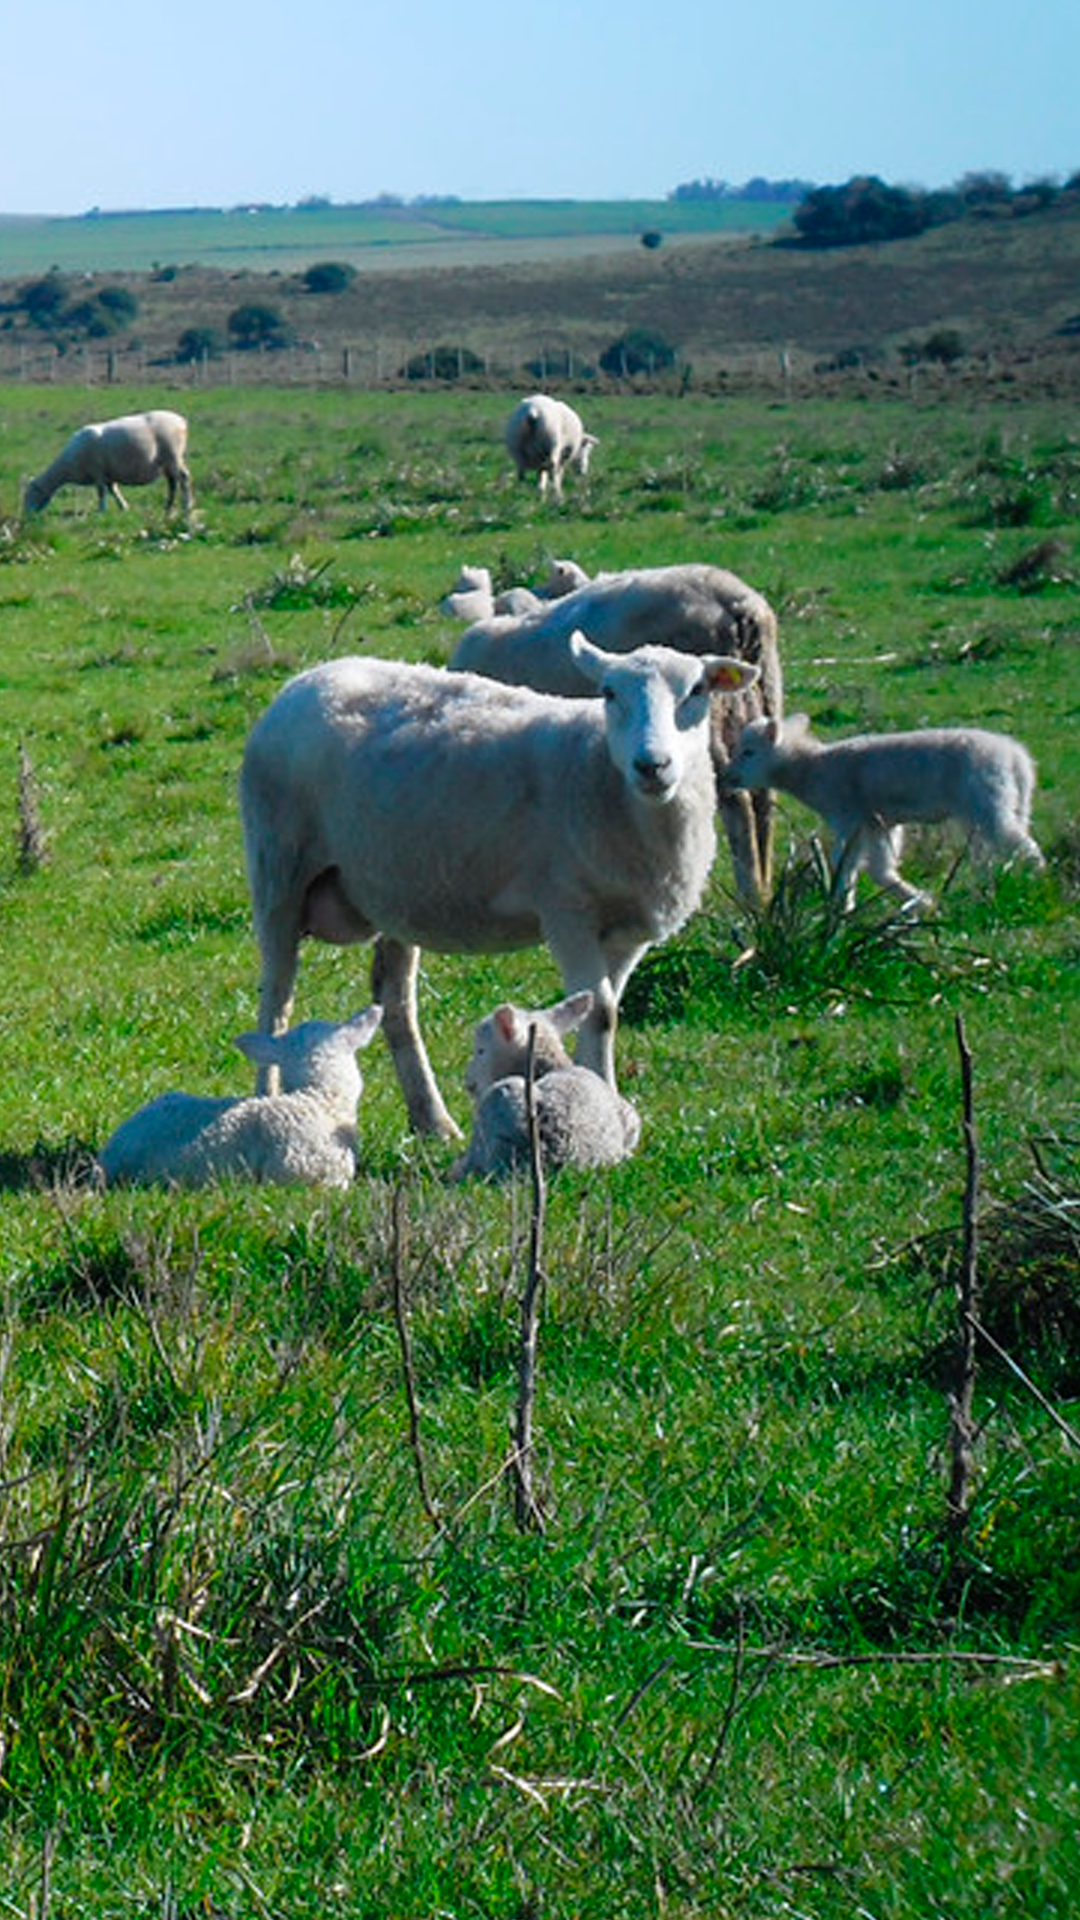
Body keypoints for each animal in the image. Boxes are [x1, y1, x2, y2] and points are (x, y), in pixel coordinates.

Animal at [23, 410, 194, 518]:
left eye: (31, 493)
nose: (26, 516)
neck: (67, 465)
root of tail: (182, 421)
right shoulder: (108, 475)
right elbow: (114, 491)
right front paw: (123, 507)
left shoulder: (97, 472)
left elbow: (101, 493)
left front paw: (101, 510)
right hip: (167, 463)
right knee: (172, 484)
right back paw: (168, 507)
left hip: (173, 456)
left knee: (184, 478)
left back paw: (187, 506)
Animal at [237, 637, 757, 1136]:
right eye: (609, 693)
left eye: (697, 690)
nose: (652, 765)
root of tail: (305, 680)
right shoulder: (567, 911)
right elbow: (598, 1011)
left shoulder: (629, 931)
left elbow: (609, 1011)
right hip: (279, 869)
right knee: (276, 998)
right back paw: (266, 1099)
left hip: (393, 890)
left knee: (394, 1000)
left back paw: (433, 1121)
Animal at [447, 560, 780, 902]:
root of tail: (737, 602)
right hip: (763, 694)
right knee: (764, 793)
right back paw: (764, 890)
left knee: (737, 802)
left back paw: (750, 893)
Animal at [718, 718, 1037, 910]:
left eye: (748, 752)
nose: (727, 777)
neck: (811, 769)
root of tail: (1017, 758)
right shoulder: (879, 823)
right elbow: (880, 869)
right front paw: (921, 902)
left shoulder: (849, 817)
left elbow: (845, 864)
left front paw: (840, 909)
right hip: (1000, 805)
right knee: (995, 849)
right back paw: (990, 886)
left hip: (987, 802)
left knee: (1023, 845)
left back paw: (1036, 880)